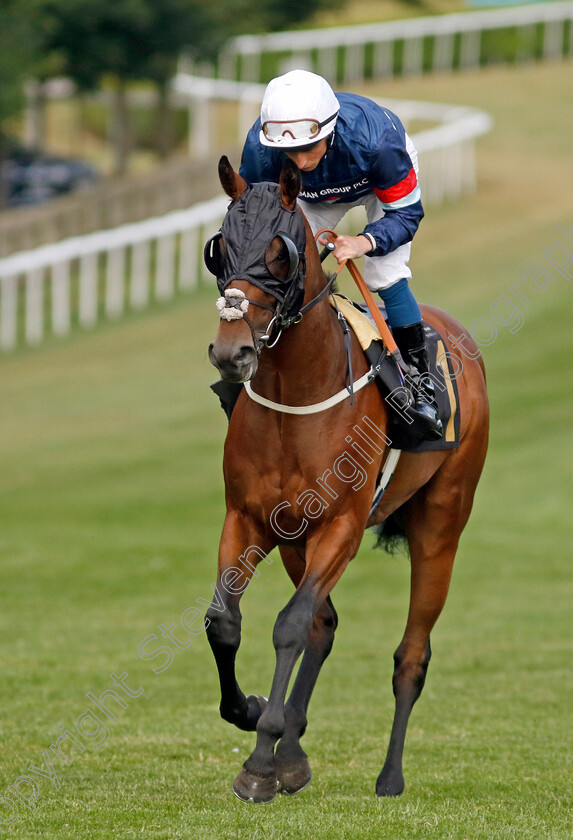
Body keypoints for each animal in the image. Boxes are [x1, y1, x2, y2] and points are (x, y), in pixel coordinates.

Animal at [204, 154, 488, 804]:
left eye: (281, 254)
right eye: (219, 247)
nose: (232, 354)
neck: (297, 395)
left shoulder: (342, 526)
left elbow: (288, 625)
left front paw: (260, 760)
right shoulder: (250, 518)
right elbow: (225, 622)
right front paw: (253, 715)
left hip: (441, 527)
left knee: (410, 655)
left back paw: (388, 775)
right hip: (295, 539)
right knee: (325, 624)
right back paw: (291, 751)